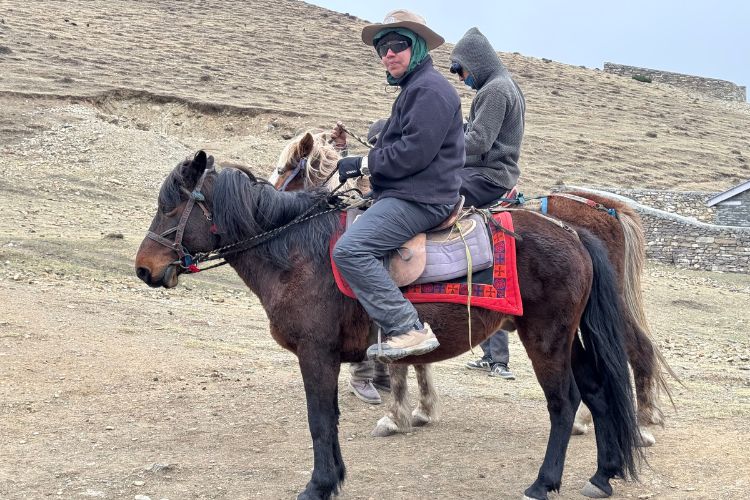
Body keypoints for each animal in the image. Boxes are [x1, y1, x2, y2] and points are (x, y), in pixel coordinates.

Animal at [135, 151, 644, 500]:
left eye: (170, 207)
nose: (144, 268)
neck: (296, 252)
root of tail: (574, 232)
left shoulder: (316, 353)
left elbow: (320, 419)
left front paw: (319, 485)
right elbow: (333, 416)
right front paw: (336, 477)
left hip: (546, 339)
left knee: (565, 403)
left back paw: (543, 482)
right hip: (566, 338)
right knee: (599, 394)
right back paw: (603, 474)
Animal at [270, 131, 674, 444]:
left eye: (284, 170)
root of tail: (604, 210)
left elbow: (402, 356)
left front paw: (395, 413)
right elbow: (417, 356)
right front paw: (422, 408)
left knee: (633, 350)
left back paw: (634, 425)